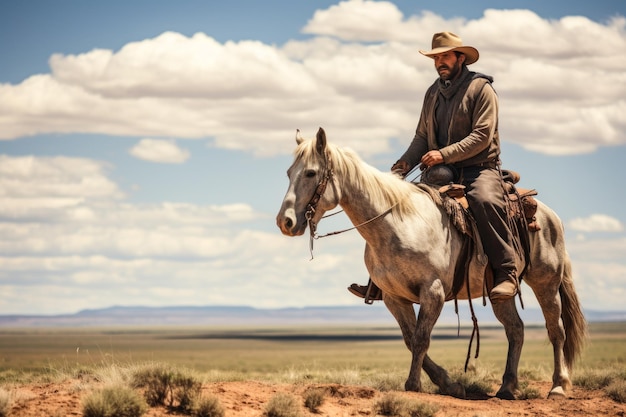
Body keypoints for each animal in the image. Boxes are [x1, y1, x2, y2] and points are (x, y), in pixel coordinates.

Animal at [274, 127, 584, 400]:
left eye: (311, 172)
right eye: (288, 173)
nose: (285, 222)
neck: (399, 224)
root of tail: (550, 215)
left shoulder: (432, 292)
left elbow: (422, 338)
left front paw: (414, 385)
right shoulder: (394, 297)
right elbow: (410, 339)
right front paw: (449, 384)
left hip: (546, 282)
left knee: (555, 330)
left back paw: (558, 386)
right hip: (499, 292)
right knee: (516, 329)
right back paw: (507, 387)